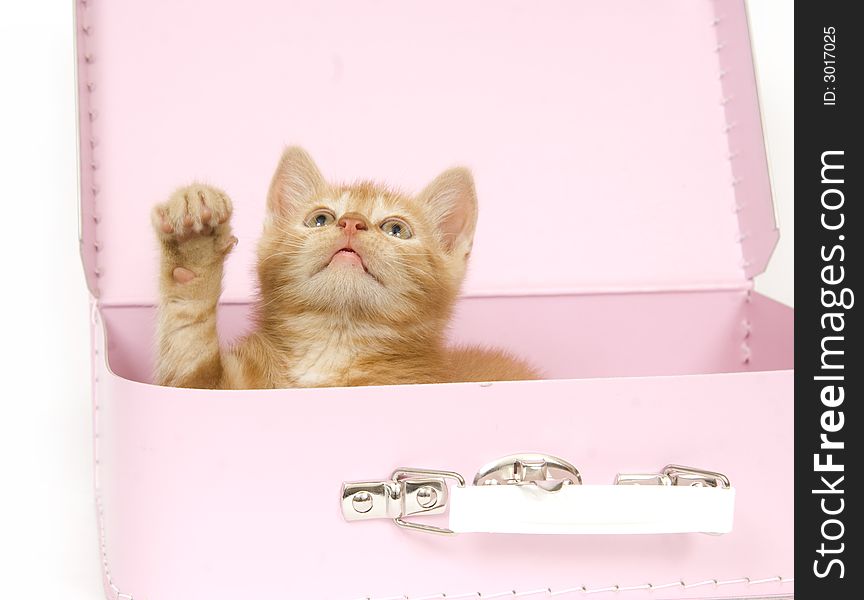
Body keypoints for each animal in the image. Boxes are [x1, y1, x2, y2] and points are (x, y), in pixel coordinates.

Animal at [152, 146, 536, 390]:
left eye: (396, 229)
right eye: (320, 219)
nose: (352, 221)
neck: (332, 347)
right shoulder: (199, 385)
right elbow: (187, 347)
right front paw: (193, 248)